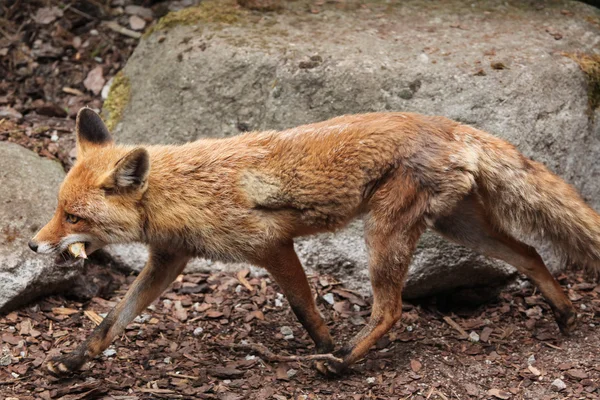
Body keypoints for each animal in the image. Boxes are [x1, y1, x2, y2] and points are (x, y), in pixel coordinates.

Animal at [29, 107, 600, 376]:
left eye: (72, 215)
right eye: (56, 209)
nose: (34, 246)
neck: (183, 192)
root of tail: (449, 125)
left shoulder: (271, 246)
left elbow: (305, 309)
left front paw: (325, 345)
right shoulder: (170, 259)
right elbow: (111, 320)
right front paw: (75, 361)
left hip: (384, 235)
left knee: (391, 311)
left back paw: (342, 363)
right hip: (458, 227)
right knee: (530, 253)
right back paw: (565, 313)